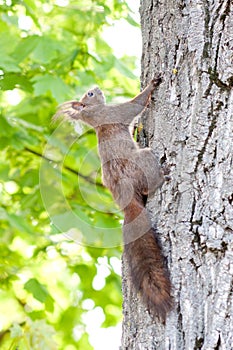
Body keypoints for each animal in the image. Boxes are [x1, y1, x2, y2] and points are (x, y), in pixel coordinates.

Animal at [53, 75, 172, 322]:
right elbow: (135, 105)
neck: (95, 116)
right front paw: (152, 84)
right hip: (143, 162)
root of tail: (126, 201)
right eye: (90, 94)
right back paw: (163, 175)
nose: (96, 87)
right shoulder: (115, 112)